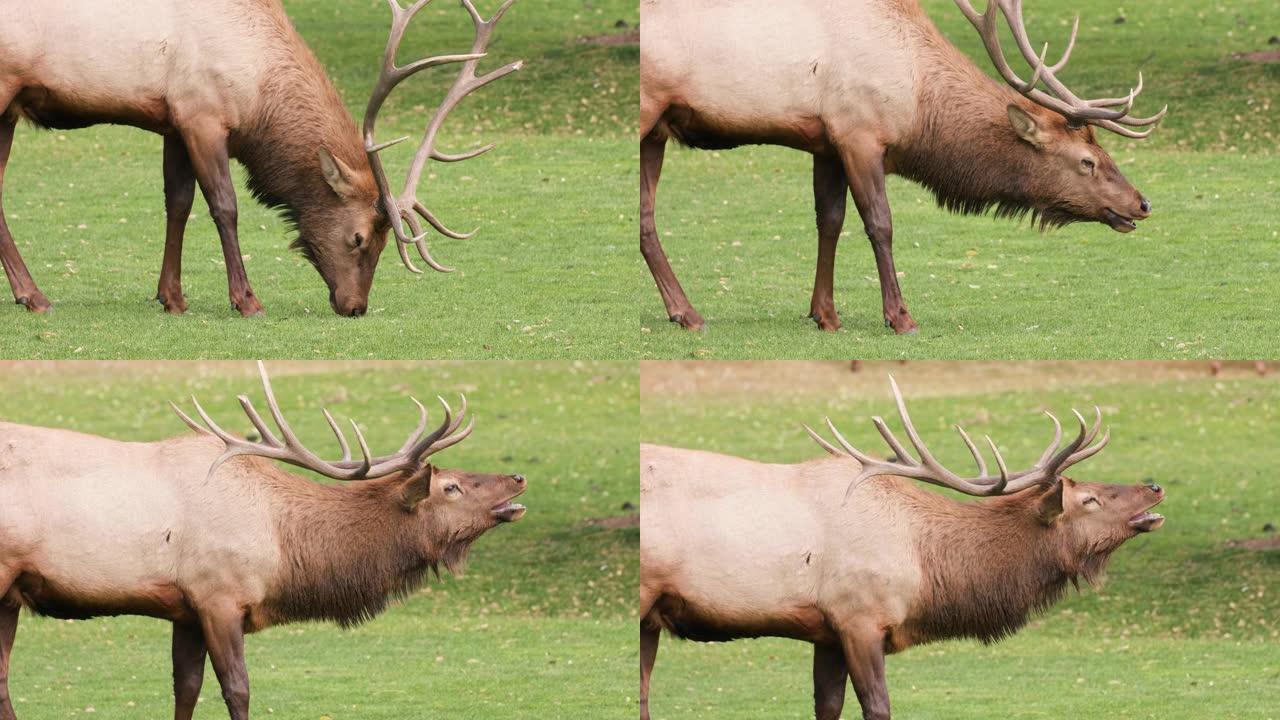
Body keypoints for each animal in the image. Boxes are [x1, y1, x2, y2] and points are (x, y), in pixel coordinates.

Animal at [0, 0, 522, 315]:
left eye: (380, 243)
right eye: (357, 239)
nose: (355, 307)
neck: (258, 94)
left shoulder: (175, 120)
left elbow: (177, 203)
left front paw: (172, 298)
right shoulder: (203, 116)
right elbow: (223, 206)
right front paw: (246, 300)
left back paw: (28, 293)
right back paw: (35, 295)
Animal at [0, 361, 527, 717]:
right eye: (450, 486)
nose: (518, 478)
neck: (284, 546)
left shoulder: (185, 607)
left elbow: (185, 687)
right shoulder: (218, 596)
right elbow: (238, 689)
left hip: (9, 596)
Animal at [640, 0, 1172, 333]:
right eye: (1087, 161)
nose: (1142, 203)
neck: (918, 104)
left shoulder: (826, 141)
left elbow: (828, 221)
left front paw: (825, 315)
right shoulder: (859, 132)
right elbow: (879, 224)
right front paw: (899, 317)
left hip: (656, 133)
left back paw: (682, 310)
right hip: (648, 109)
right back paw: (687, 313)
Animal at [645, 379, 1167, 712]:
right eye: (1089, 499)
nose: (1155, 487)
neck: (926, 569)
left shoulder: (826, 631)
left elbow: (826, 707)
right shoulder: (858, 617)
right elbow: (878, 707)